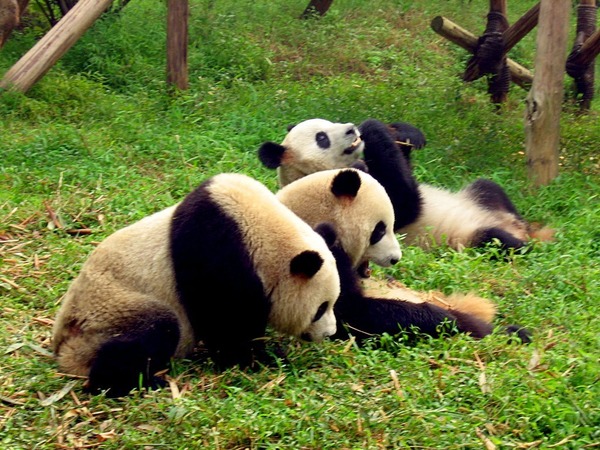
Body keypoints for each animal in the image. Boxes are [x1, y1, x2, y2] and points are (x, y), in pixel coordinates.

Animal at [50, 172, 342, 398]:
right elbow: (225, 319)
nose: (329, 333)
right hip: (109, 312)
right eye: (321, 308)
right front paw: (261, 358)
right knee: (155, 330)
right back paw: (137, 382)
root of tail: (62, 347)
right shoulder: (216, 249)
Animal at [258, 118, 552, 253]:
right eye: (321, 138)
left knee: (488, 186)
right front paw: (372, 127)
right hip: (466, 237)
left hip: (479, 195)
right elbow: (404, 205)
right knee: (496, 240)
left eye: (330, 123)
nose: (351, 129)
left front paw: (405, 133)